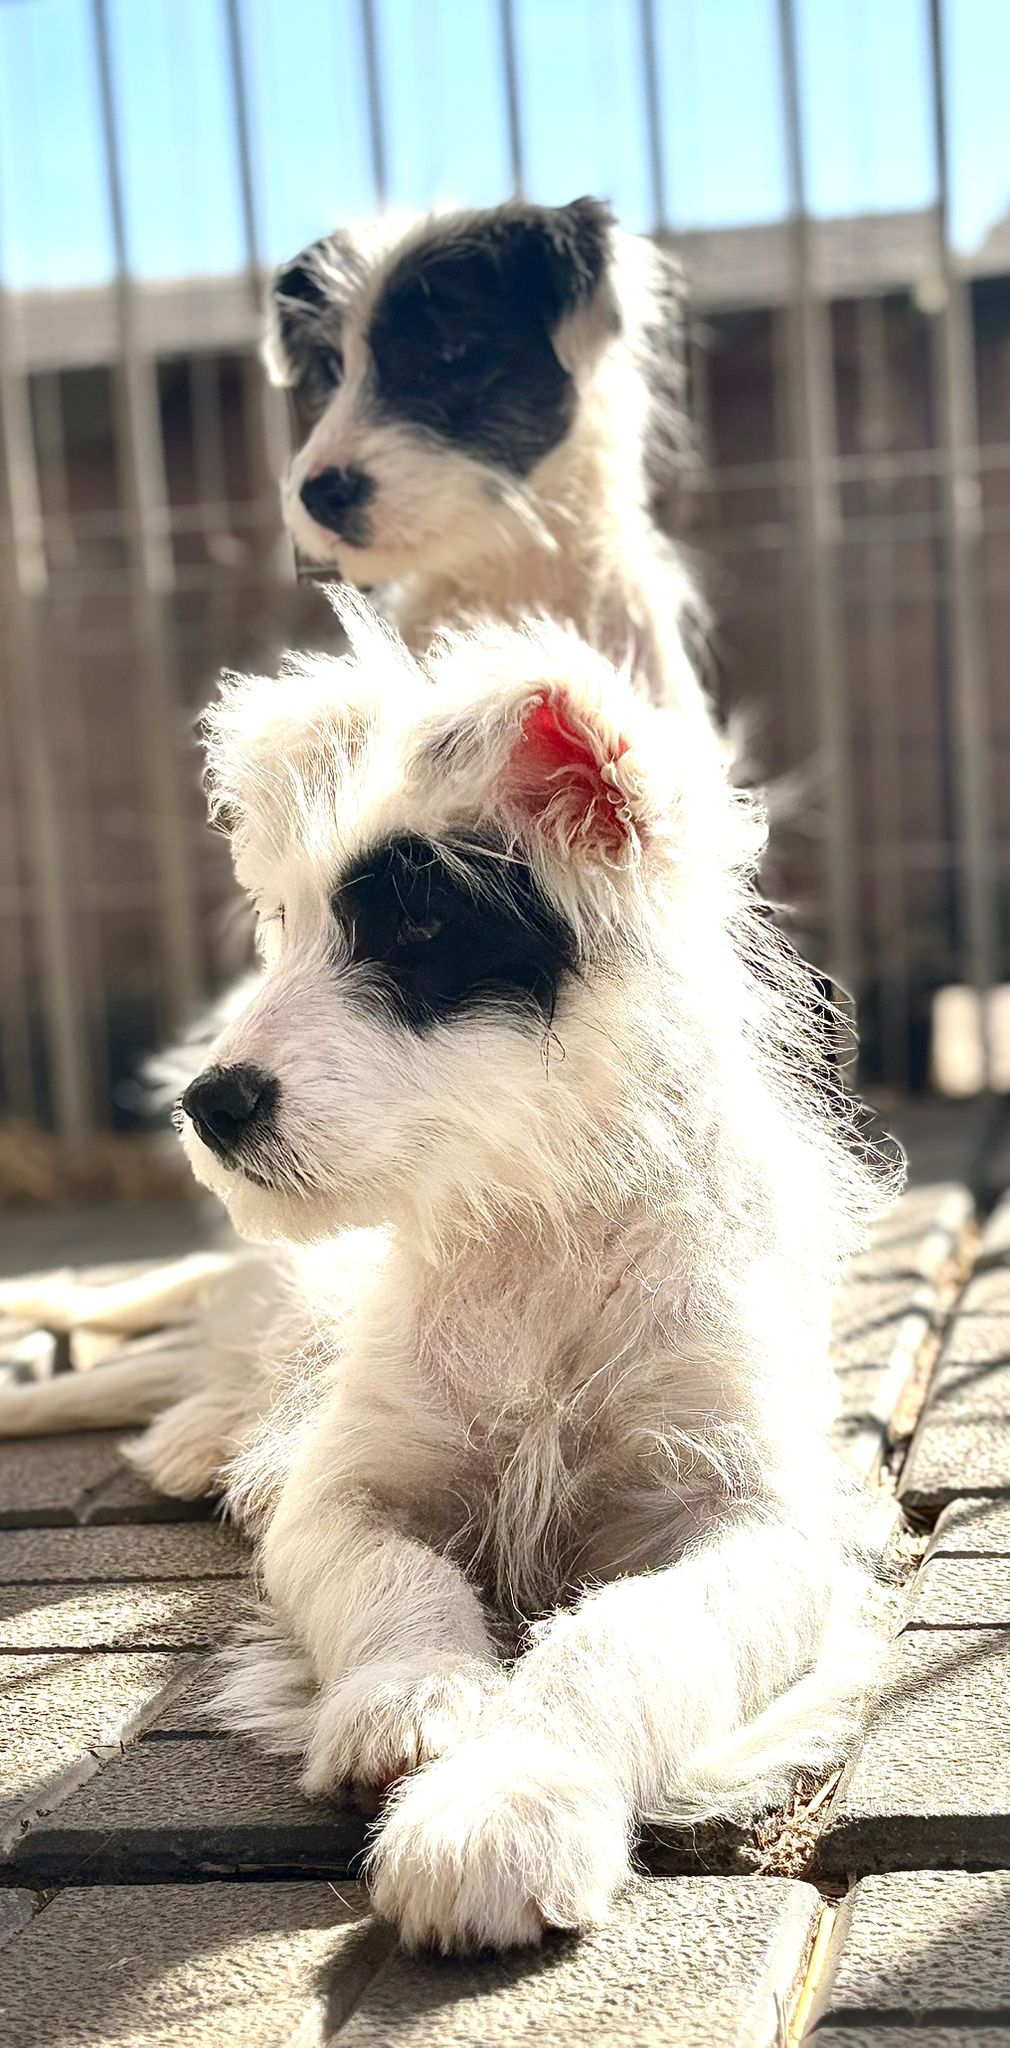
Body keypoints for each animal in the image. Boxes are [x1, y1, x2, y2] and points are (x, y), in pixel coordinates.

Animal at [0, 600, 896, 1949]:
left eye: (419, 927)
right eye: (281, 923)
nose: (207, 1104)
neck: (534, 1226)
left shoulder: (758, 1526)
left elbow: (628, 1636)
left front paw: (510, 1799)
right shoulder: (344, 1492)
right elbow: (395, 1578)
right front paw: (411, 1701)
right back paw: (184, 1428)